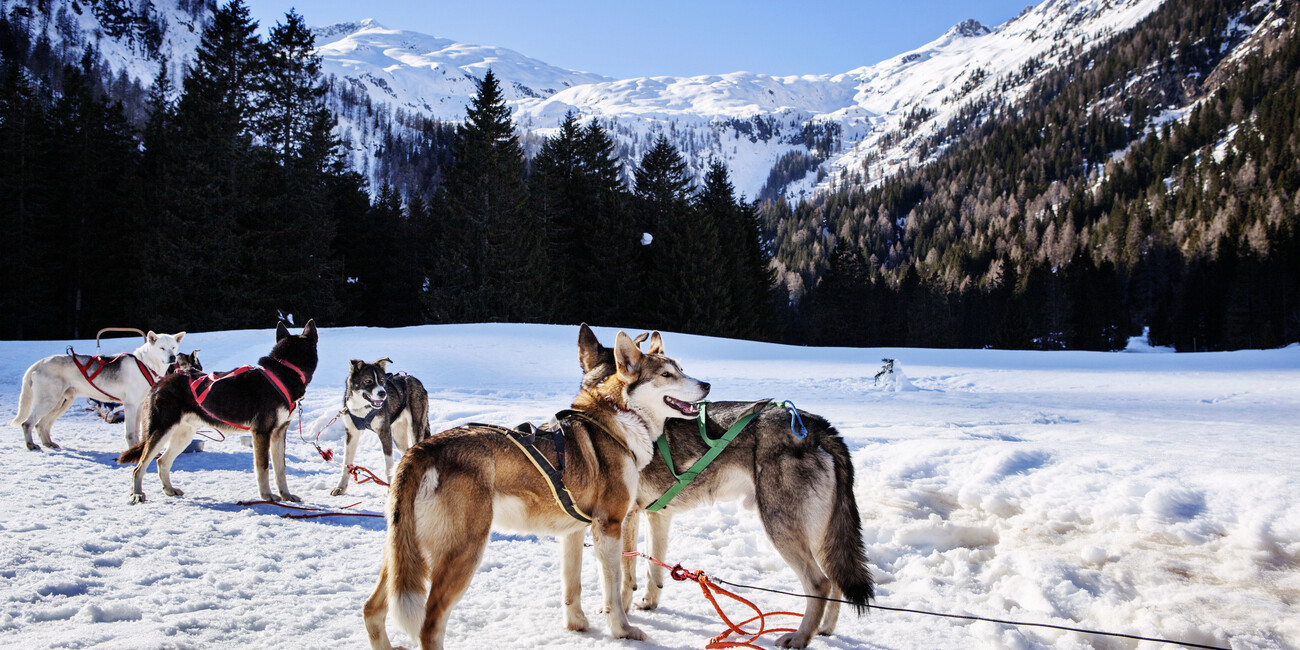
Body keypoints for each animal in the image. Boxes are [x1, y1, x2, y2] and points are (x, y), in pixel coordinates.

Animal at [11, 330, 185, 452]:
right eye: (162, 348)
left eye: (173, 348)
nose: (172, 358)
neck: (146, 364)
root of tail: (40, 363)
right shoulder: (130, 405)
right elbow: (130, 433)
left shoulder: (139, 405)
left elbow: (136, 431)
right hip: (48, 401)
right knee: (28, 424)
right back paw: (31, 445)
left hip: (61, 403)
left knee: (41, 425)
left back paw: (48, 443)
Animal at [120, 322, 319, 504]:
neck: (284, 372)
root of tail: (160, 382)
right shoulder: (262, 433)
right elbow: (263, 467)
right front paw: (267, 495)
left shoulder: (278, 433)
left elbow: (281, 469)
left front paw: (286, 495)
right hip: (160, 432)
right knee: (139, 467)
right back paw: (137, 493)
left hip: (183, 436)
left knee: (162, 462)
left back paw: (169, 489)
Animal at [332, 358, 434, 493]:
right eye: (368, 381)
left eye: (381, 380)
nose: (382, 393)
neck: (363, 408)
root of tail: (415, 380)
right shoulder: (351, 433)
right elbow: (346, 463)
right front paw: (341, 487)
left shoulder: (384, 432)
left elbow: (388, 465)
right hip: (398, 436)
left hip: (415, 428)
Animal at [364, 332, 712, 647]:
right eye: (667, 375)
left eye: (681, 368)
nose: (707, 385)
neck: (621, 420)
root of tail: (422, 449)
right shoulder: (609, 526)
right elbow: (613, 589)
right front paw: (622, 630)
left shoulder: (574, 531)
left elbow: (572, 586)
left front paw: (577, 625)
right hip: (462, 552)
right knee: (429, 627)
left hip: (404, 556)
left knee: (372, 610)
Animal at [577, 327, 873, 647]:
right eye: (668, 374)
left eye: (680, 370)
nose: (706, 385)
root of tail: (815, 425)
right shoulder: (658, 515)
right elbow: (653, 566)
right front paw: (649, 601)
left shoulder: (625, 516)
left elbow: (625, 572)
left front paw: (621, 611)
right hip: (818, 532)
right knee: (836, 580)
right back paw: (823, 629)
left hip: (780, 525)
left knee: (820, 583)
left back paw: (799, 637)